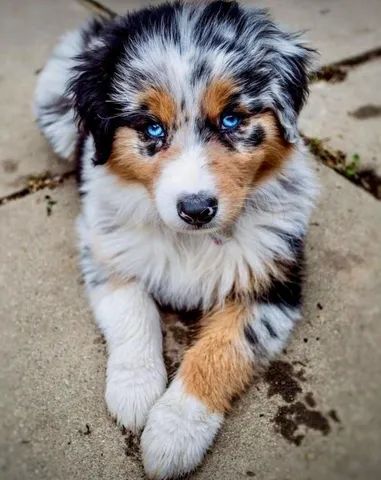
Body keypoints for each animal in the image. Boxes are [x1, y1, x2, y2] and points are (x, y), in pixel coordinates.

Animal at [34, 2, 316, 476]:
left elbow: (221, 351)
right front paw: (135, 390)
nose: (197, 209)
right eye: (151, 128)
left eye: (232, 119)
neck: (191, 240)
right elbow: (133, 311)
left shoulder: (273, 278)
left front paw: (174, 434)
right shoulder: (104, 247)